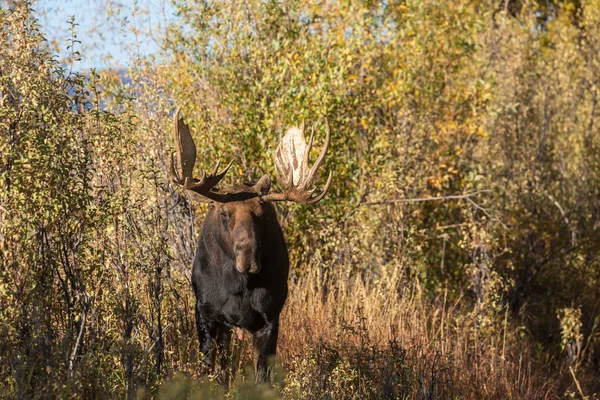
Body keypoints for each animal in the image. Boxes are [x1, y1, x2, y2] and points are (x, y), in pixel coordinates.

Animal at [169, 108, 332, 382]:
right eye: (224, 212)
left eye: (261, 212)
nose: (248, 258)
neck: (239, 286)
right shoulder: (207, 314)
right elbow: (213, 374)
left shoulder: (269, 319)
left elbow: (261, 378)